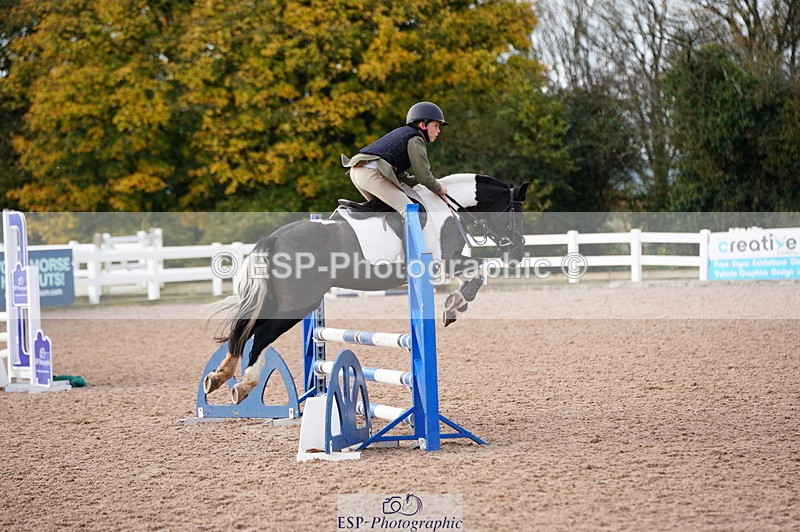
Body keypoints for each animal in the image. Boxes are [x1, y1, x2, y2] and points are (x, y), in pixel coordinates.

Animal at [205, 173, 529, 404]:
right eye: (517, 214)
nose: (517, 253)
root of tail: (274, 238)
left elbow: (475, 272)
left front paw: (455, 304)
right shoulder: (443, 263)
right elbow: (478, 271)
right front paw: (456, 305)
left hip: (281, 301)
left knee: (243, 329)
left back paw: (219, 377)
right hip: (298, 305)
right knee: (260, 335)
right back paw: (244, 384)